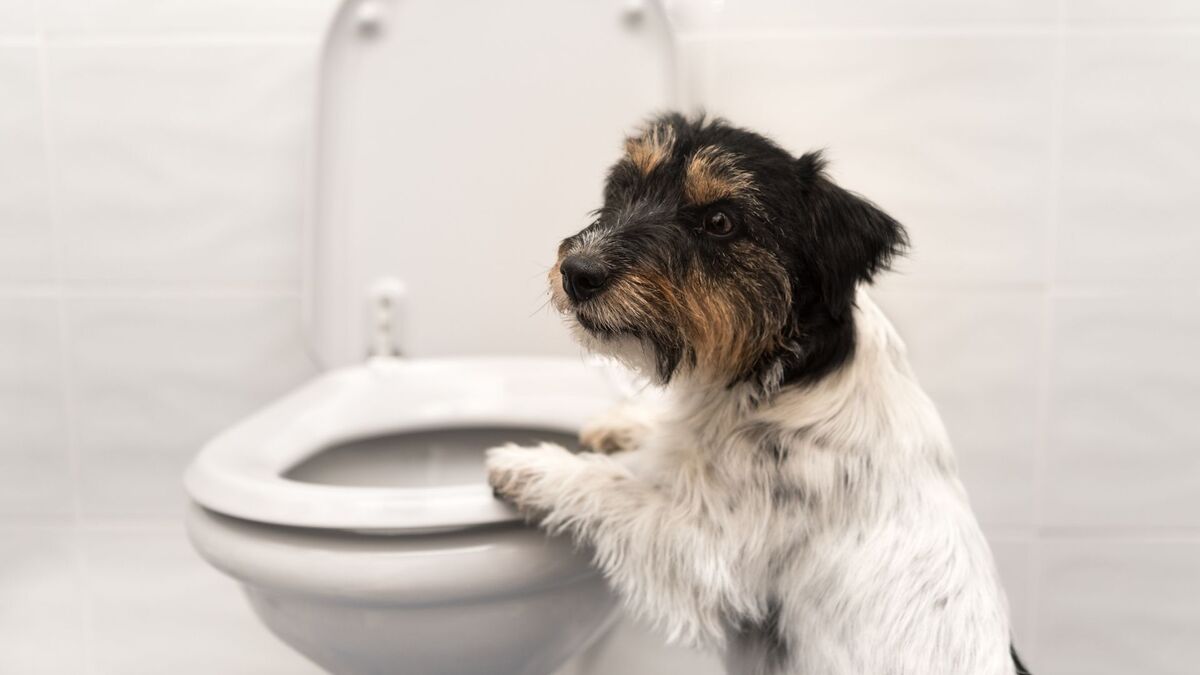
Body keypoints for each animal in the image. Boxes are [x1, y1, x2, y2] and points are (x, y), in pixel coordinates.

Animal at [482, 114, 1027, 672]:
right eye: (625, 187)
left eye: (721, 221)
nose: (577, 273)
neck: (786, 370)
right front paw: (624, 423)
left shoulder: (706, 549)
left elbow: (614, 485)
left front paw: (532, 465)